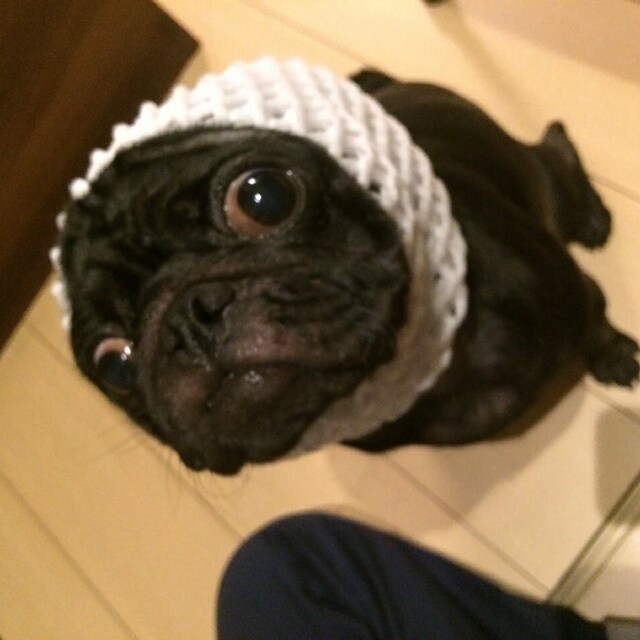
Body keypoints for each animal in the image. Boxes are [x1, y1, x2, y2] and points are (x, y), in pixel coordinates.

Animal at [54, 59, 638, 475]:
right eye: (116, 365)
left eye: (263, 197)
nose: (192, 314)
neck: (439, 364)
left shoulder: (573, 293)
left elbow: (596, 321)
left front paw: (614, 356)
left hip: (541, 181)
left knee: (554, 154)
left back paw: (591, 216)